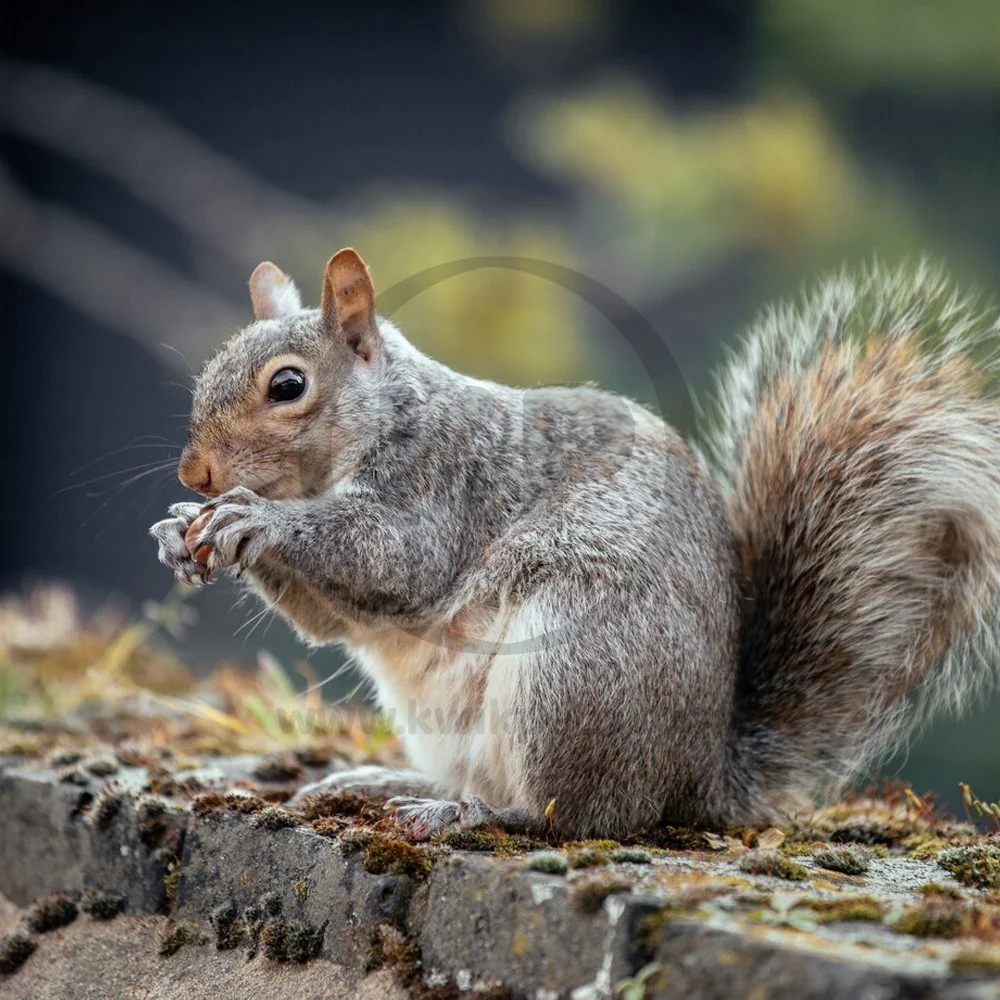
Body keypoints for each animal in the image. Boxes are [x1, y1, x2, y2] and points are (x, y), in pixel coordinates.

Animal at [151, 249, 1000, 840]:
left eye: (288, 386)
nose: (195, 473)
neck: (380, 422)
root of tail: (696, 778)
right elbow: (328, 620)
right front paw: (176, 531)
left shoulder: (441, 485)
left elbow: (393, 558)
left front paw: (254, 520)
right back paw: (382, 785)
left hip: (570, 673)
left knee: (576, 815)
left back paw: (472, 818)